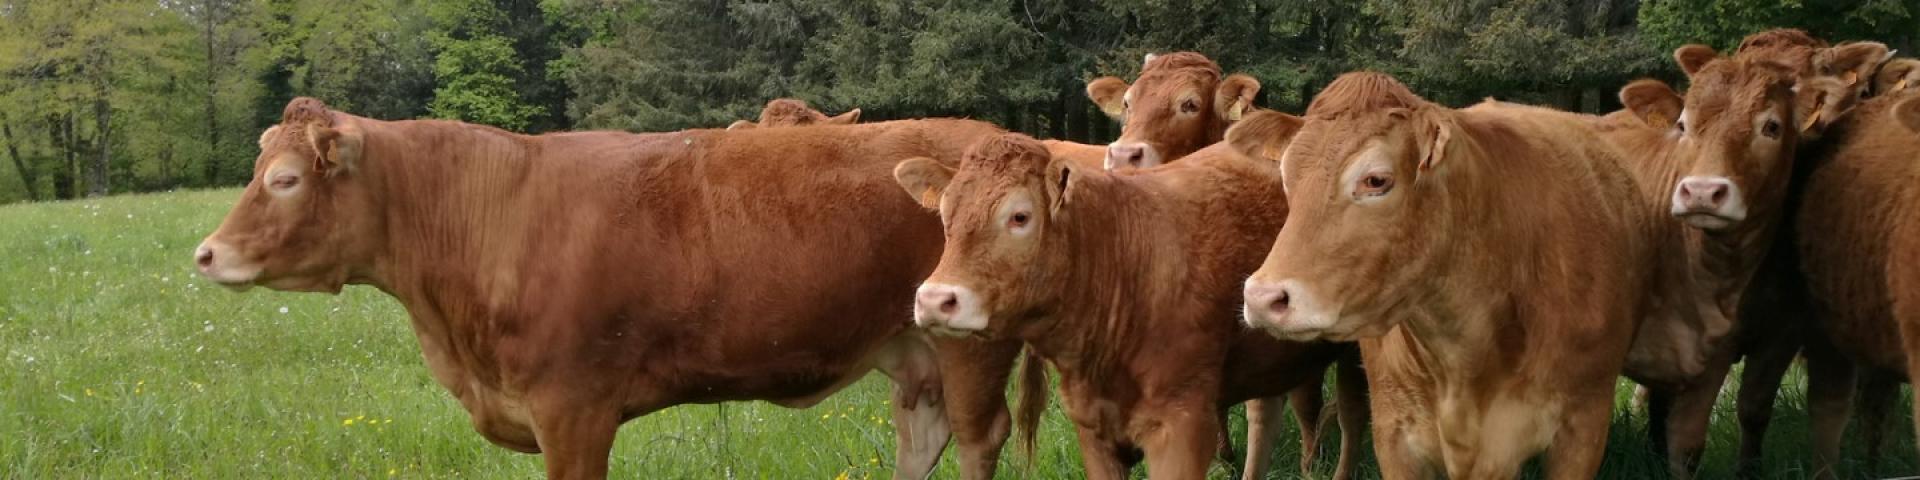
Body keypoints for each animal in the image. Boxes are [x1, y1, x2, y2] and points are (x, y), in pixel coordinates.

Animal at [194, 98, 1020, 480]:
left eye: (285, 179)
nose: (206, 254)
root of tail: (984, 135)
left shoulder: (574, 409)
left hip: (971, 344)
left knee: (981, 438)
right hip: (911, 348)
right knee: (923, 438)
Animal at [897, 130, 1365, 480]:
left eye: (1019, 216)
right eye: (945, 215)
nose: (935, 299)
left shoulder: (1183, 425)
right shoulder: (1093, 427)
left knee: (1351, 413)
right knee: (1266, 413)